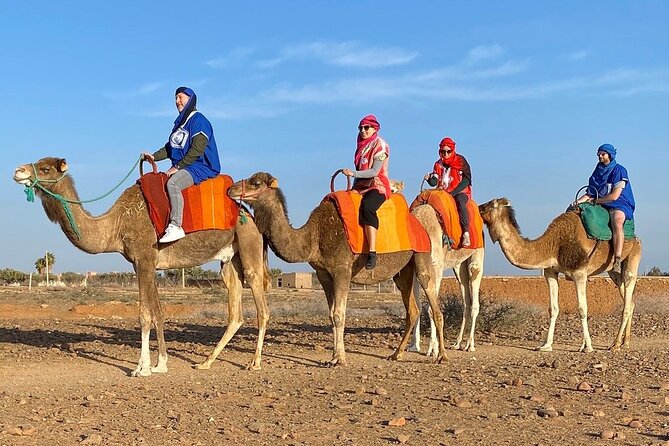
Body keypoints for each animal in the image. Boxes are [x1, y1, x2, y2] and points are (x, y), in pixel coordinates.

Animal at [13, 157, 269, 376]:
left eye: (45, 168)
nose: (18, 171)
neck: (115, 225)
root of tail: (250, 216)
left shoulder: (145, 257)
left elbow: (145, 315)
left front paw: (141, 368)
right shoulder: (142, 263)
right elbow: (157, 312)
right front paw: (160, 364)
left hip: (249, 243)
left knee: (260, 300)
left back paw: (254, 363)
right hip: (230, 259)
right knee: (235, 309)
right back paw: (206, 362)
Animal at [227, 172, 448, 366]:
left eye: (256, 182)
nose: (231, 189)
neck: (314, 236)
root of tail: (418, 223)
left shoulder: (342, 269)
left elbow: (339, 315)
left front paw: (339, 359)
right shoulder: (323, 274)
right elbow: (331, 315)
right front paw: (333, 356)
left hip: (422, 256)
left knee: (434, 305)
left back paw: (441, 356)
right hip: (403, 270)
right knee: (412, 309)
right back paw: (396, 354)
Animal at [408, 202, 485, 354]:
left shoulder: (436, 267)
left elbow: (432, 308)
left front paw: (433, 348)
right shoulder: (414, 270)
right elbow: (418, 305)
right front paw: (414, 345)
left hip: (477, 257)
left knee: (474, 298)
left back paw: (470, 345)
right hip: (459, 266)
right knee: (466, 301)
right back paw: (457, 343)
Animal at [478, 197, 642, 352]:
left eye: (489, 204)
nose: (477, 207)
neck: (554, 245)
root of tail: (635, 237)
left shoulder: (579, 273)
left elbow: (582, 309)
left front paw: (588, 347)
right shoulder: (551, 272)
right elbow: (553, 308)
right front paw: (546, 345)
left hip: (633, 255)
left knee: (627, 297)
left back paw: (616, 345)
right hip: (613, 271)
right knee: (629, 299)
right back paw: (623, 343)